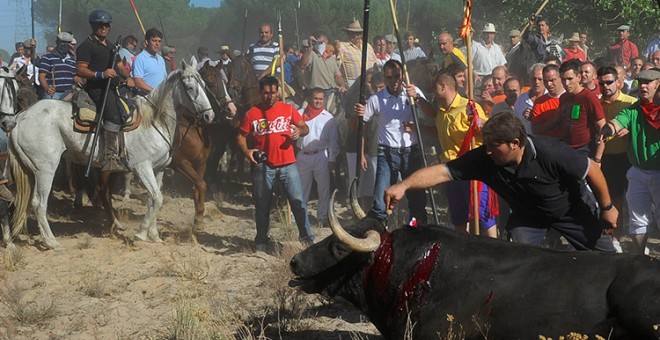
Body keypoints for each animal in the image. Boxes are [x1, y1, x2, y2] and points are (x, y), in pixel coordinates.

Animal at [7, 61, 214, 250]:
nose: (209, 116)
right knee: (39, 203)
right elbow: (157, 198)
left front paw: (154, 235)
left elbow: (153, 200)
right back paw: (51, 242)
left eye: (204, 85)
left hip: (29, 170)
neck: (154, 121)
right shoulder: (142, 167)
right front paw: (141, 234)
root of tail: (20, 117)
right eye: (190, 87)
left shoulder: (158, 169)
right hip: (45, 169)